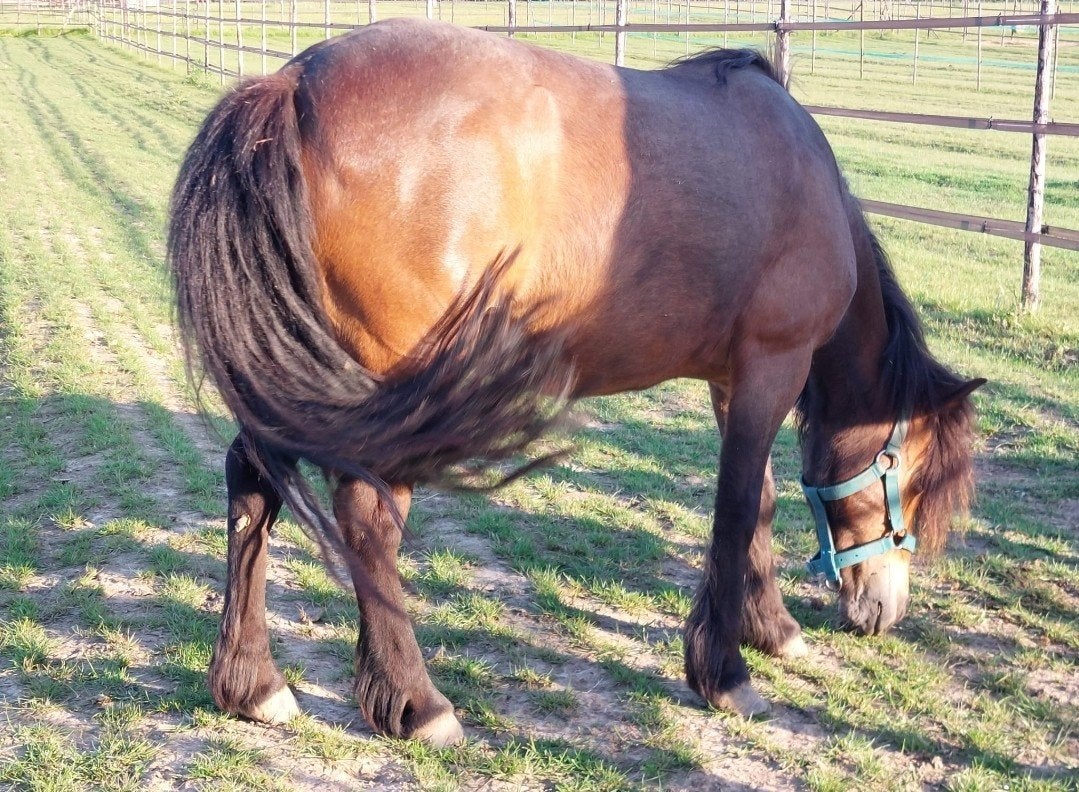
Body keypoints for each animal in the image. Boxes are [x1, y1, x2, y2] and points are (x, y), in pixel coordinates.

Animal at [168, 18, 983, 747]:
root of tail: (292, 83)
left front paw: (771, 629)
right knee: (366, 520)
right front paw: (724, 672)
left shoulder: (733, 380)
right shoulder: (770, 366)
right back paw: (417, 703)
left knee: (251, 483)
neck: (805, 180)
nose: (881, 611)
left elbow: (760, 500)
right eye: (911, 478)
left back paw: (252, 684)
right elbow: (734, 508)